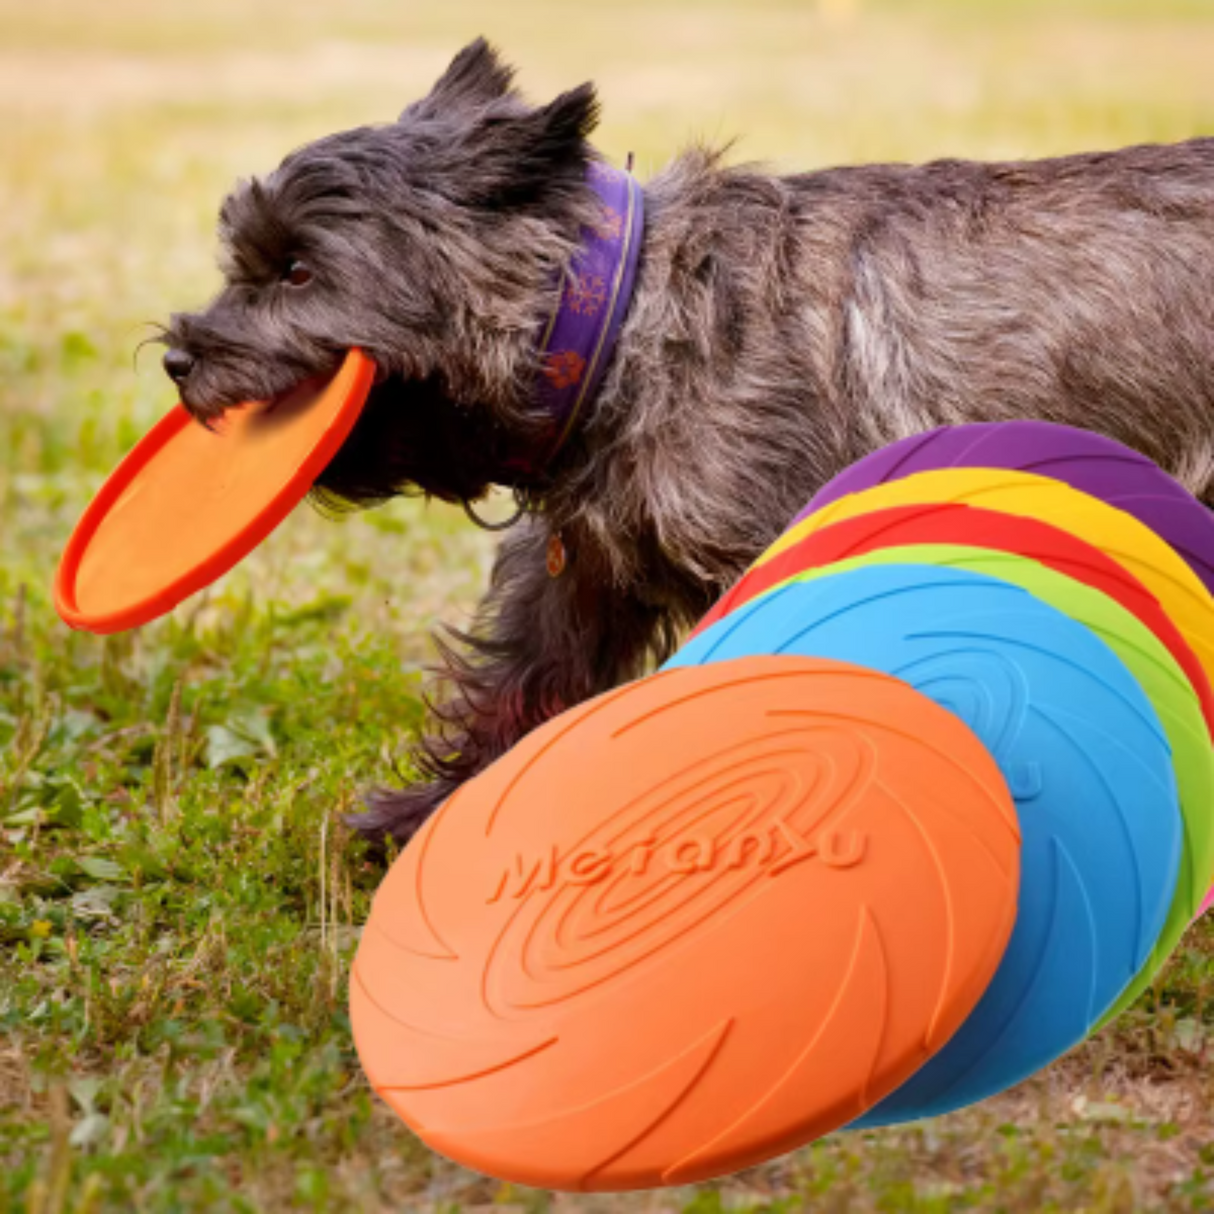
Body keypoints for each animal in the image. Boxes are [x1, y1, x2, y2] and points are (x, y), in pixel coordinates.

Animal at [156, 33, 1214, 840]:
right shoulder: (578, 574)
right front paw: (425, 820)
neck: (620, 323)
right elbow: (517, 690)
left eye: (298, 270)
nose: (177, 357)